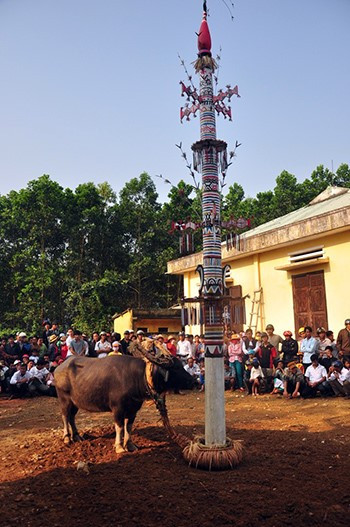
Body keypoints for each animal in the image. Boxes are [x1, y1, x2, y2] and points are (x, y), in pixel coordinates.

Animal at [54, 354, 193, 454]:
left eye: (181, 365)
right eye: (176, 368)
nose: (193, 381)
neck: (137, 376)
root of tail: (59, 367)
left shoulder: (133, 409)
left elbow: (129, 427)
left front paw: (130, 445)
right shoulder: (118, 409)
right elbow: (119, 427)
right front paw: (119, 447)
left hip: (75, 402)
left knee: (72, 417)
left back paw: (77, 436)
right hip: (64, 399)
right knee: (65, 416)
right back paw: (67, 438)